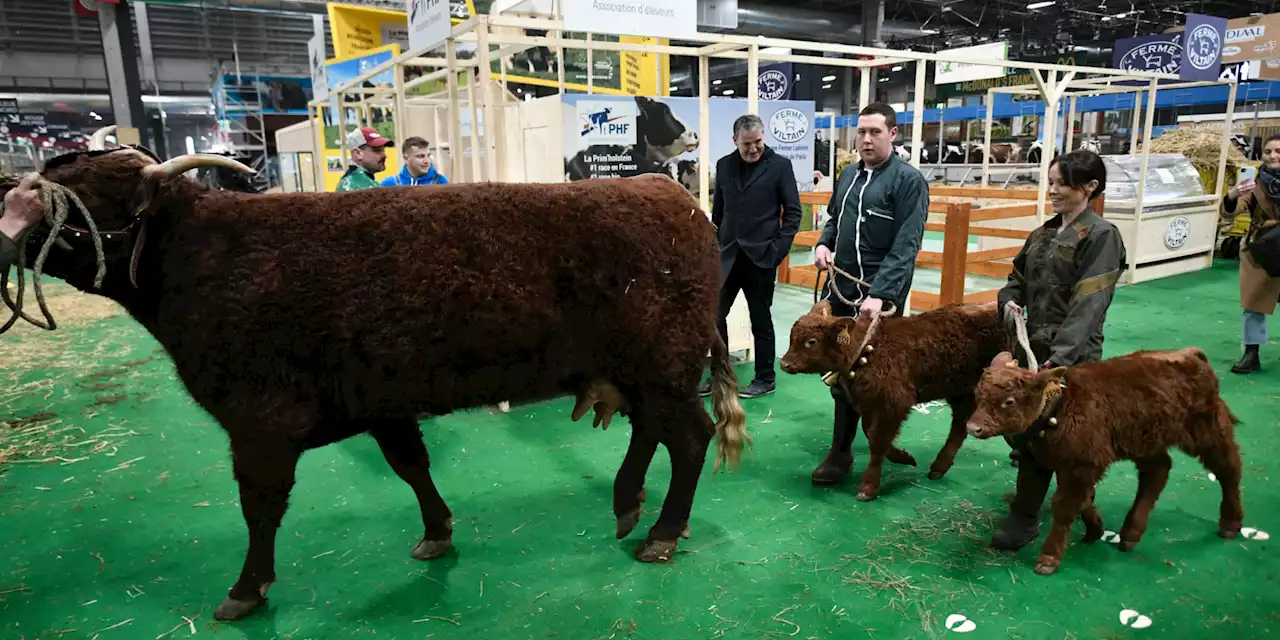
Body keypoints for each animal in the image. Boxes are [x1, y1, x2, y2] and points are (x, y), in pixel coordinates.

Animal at [7, 148, 747, 619]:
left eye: (84, 200)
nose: (6, 224)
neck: (205, 258)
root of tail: (669, 193)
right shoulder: (380, 402)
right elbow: (410, 464)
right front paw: (437, 532)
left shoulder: (258, 423)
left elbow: (260, 508)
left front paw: (246, 589)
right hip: (643, 372)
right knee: (652, 433)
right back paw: (629, 506)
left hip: (662, 366)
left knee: (690, 438)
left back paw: (660, 532)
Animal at [773, 299, 1003, 499]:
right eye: (792, 337)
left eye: (811, 341)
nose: (784, 364)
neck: (867, 350)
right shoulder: (869, 404)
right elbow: (871, 433)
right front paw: (904, 457)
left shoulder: (894, 404)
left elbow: (877, 441)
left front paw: (868, 487)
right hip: (960, 391)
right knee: (959, 425)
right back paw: (938, 468)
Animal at [967, 348, 1239, 578]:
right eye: (977, 395)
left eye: (1009, 401)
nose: (972, 427)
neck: (1059, 409)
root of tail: (1193, 355)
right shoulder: (1063, 465)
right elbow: (1084, 498)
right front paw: (1095, 529)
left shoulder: (1081, 465)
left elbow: (1064, 505)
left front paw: (1049, 558)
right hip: (1145, 441)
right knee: (1158, 470)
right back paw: (1130, 534)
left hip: (1207, 430)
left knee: (1229, 468)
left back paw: (1231, 523)